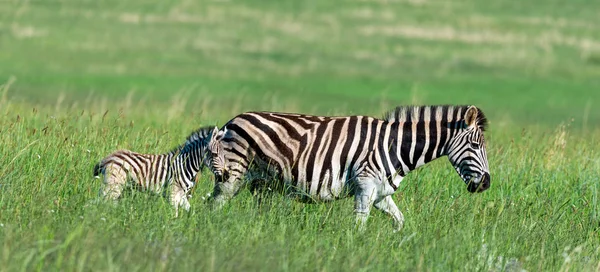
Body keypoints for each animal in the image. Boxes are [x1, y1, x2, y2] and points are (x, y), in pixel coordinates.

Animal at [209, 105, 490, 231]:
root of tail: (231, 121)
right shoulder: (365, 186)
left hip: (261, 184)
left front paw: (399, 244)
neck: (394, 146)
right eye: (476, 145)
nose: (486, 184)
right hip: (233, 175)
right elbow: (359, 225)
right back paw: (211, 231)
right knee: (215, 204)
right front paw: (356, 249)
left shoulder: (381, 194)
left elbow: (400, 221)